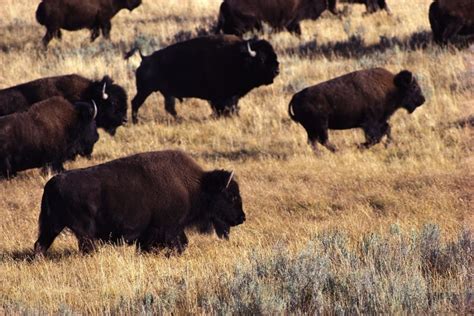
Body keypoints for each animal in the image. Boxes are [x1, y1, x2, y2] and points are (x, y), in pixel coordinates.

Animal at [33, 149, 246, 256]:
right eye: (231, 196)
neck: (195, 185)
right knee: (86, 247)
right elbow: (179, 244)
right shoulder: (169, 228)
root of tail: (52, 183)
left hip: (52, 226)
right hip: (82, 231)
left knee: (40, 244)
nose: (242, 218)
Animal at [128, 34, 280, 123]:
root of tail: (144, 59)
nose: (276, 71)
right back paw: (136, 122)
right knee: (136, 103)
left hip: (163, 93)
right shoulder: (222, 97)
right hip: (145, 91)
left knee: (169, 108)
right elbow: (223, 107)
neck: (239, 58)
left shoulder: (231, 97)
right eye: (262, 59)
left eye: (274, 55)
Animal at [288, 68, 426, 154]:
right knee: (322, 141)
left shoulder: (380, 121)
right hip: (321, 125)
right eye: (414, 87)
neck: (393, 87)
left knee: (314, 142)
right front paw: (360, 146)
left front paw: (385, 145)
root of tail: (295, 96)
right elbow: (375, 138)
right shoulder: (370, 124)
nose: (422, 99)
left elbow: (387, 130)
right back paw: (338, 151)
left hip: (312, 129)